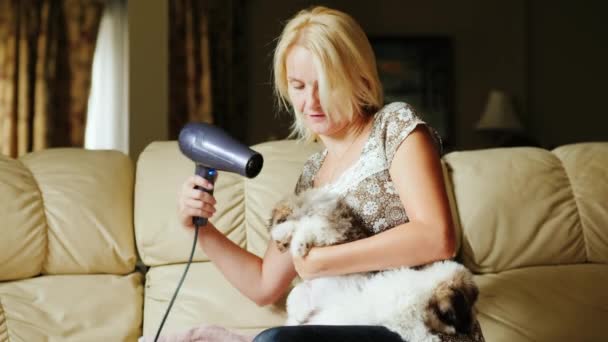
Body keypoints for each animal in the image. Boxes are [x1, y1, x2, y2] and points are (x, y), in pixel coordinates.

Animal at [268, 188, 478, 340]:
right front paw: (431, 338)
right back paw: (291, 241)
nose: (464, 330)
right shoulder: (403, 318)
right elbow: (418, 333)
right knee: (307, 227)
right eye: (454, 316)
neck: (424, 287)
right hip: (329, 233)